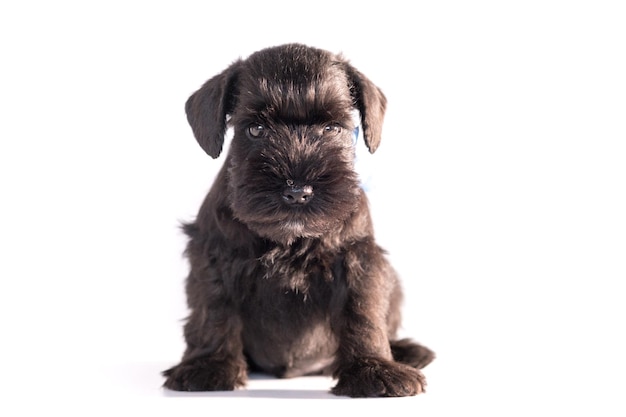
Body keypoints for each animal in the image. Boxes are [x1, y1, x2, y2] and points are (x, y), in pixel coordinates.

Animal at [163, 42, 432, 396]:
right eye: (256, 129)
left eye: (331, 128)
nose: (297, 191)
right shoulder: (214, 257)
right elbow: (214, 309)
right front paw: (209, 365)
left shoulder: (358, 258)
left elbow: (363, 311)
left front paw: (375, 369)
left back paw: (408, 351)